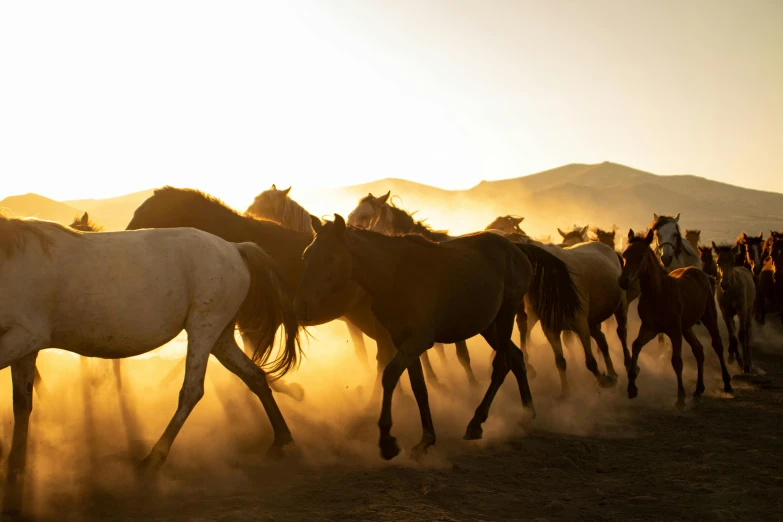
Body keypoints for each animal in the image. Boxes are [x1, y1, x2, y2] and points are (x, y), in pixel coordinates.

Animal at [0, 213, 300, 510]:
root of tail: (234, 248)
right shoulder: (27, 349)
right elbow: (22, 405)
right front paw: (16, 467)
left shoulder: (25, 336)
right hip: (222, 337)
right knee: (254, 375)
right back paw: (281, 440)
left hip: (204, 327)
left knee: (192, 391)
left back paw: (152, 460)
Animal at [294, 213, 580, 458]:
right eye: (307, 255)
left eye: (332, 257)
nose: (303, 306)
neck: (395, 276)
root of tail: (516, 248)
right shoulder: (402, 340)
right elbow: (419, 386)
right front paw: (426, 439)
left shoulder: (419, 340)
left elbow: (389, 375)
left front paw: (388, 441)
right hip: (488, 326)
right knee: (517, 357)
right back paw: (527, 413)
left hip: (506, 315)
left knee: (501, 364)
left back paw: (476, 423)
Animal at [620, 228, 736, 406]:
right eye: (625, 255)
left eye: (640, 256)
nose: (623, 281)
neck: (658, 293)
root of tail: (698, 271)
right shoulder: (649, 328)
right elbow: (636, 345)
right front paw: (632, 387)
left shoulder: (674, 331)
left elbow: (676, 361)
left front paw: (681, 397)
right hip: (687, 327)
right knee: (698, 350)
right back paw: (698, 390)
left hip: (708, 317)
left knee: (717, 345)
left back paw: (727, 384)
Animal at [712, 242, 756, 372]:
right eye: (718, 262)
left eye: (732, 262)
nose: (724, 285)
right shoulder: (726, 313)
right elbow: (733, 337)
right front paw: (738, 360)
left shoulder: (742, 311)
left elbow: (742, 335)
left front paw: (746, 365)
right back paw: (732, 355)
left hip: (749, 310)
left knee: (747, 332)